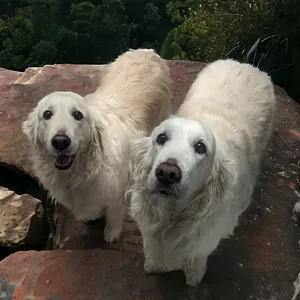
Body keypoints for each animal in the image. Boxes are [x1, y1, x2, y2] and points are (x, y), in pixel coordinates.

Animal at [22, 48, 172, 243]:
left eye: (77, 115)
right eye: (47, 114)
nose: (60, 141)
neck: (79, 170)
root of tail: (146, 51)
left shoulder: (118, 190)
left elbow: (114, 213)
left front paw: (111, 233)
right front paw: (92, 216)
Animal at [127, 58, 276, 286]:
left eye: (200, 147)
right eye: (161, 138)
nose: (167, 173)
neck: (172, 216)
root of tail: (245, 64)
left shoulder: (207, 235)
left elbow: (198, 255)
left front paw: (194, 274)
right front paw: (152, 265)